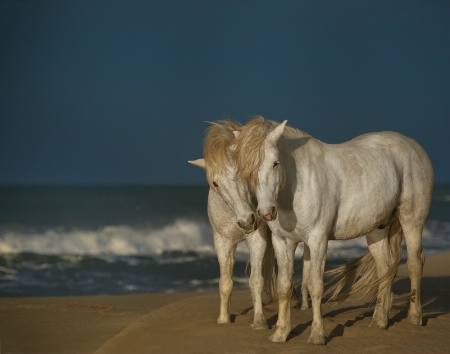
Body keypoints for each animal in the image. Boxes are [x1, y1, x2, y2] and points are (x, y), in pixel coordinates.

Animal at [187, 121, 278, 330]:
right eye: (215, 183)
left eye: (243, 172)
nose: (246, 222)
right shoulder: (222, 242)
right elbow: (225, 282)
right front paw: (223, 319)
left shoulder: (257, 238)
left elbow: (256, 281)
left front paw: (259, 321)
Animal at [236, 117, 432, 344]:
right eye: (247, 169)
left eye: (275, 163)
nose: (266, 212)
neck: (296, 185)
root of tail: (413, 146)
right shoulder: (282, 242)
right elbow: (284, 287)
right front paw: (281, 333)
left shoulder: (318, 240)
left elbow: (315, 286)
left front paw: (317, 335)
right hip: (377, 230)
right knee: (385, 268)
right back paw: (379, 321)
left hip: (412, 220)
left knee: (415, 263)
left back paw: (414, 317)